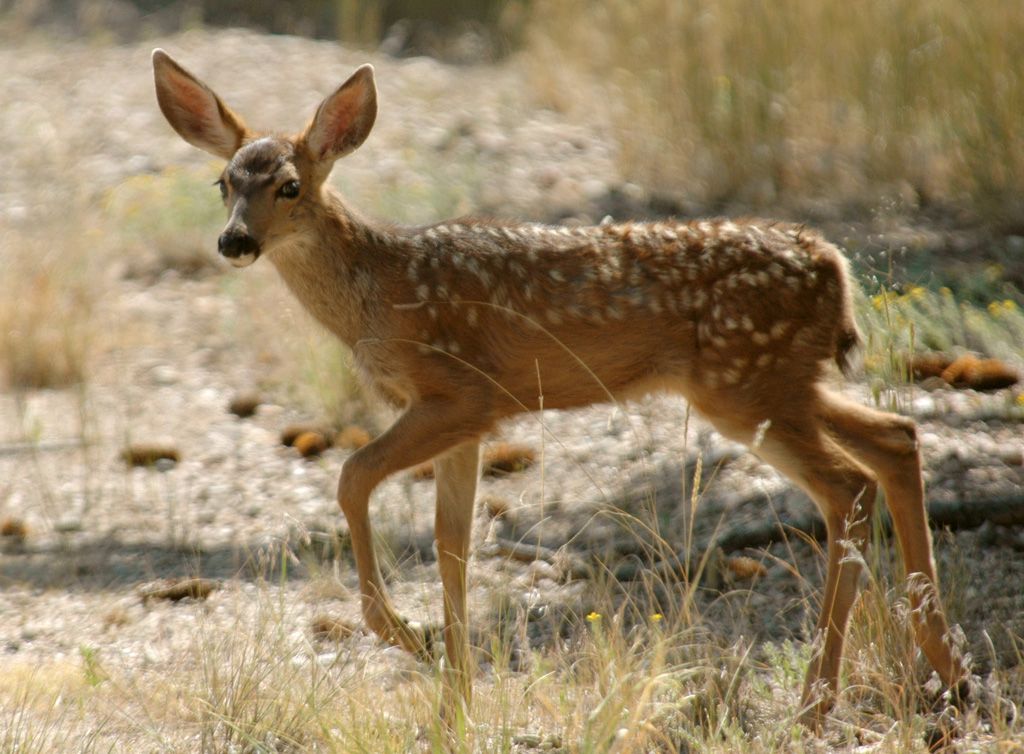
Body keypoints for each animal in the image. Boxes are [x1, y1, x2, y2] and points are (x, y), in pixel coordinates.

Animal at [151, 49, 969, 731]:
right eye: (224, 183)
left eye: (289, 185)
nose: (234, 241)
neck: (378, 296)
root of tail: (833, 264)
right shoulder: (468, 423)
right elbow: (452, 543)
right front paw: (453, 703)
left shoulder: (462, 393)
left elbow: (352, 477)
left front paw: (407, 639)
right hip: (785, 382)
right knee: (897, 440)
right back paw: (947, 672)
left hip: (747, 385)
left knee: (847, 486)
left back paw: (817, 703)